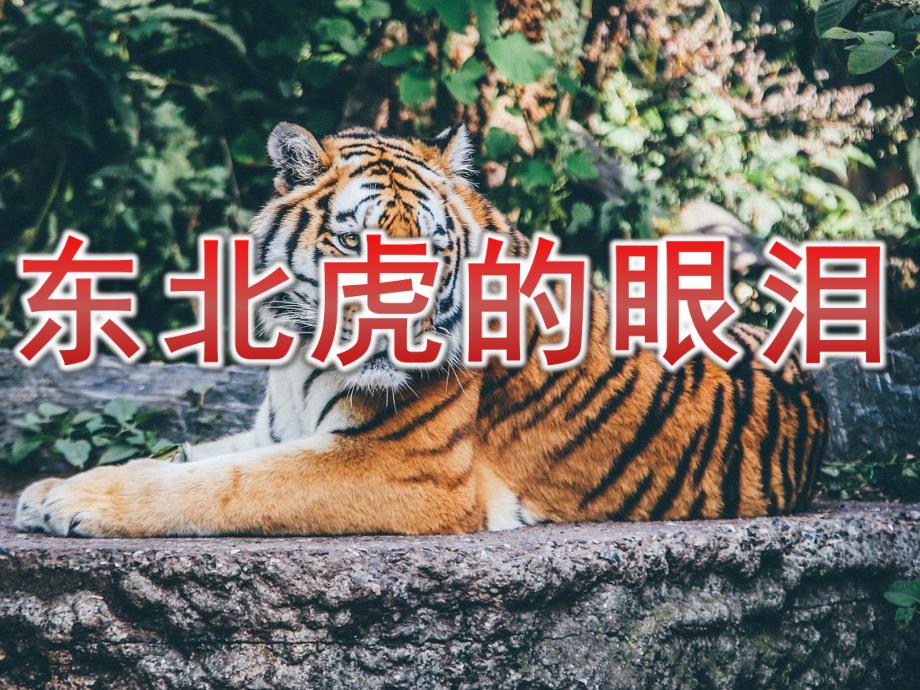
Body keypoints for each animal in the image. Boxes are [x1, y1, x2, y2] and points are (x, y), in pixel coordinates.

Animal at [14, 123, 829, 537]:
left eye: (433, 249)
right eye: (353, 243)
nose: (398, 329)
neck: (299, 357)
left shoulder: (402, 467)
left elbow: (222, 485)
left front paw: (74, 503)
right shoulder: (277, 427)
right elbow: (189, 456)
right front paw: (49, 487)